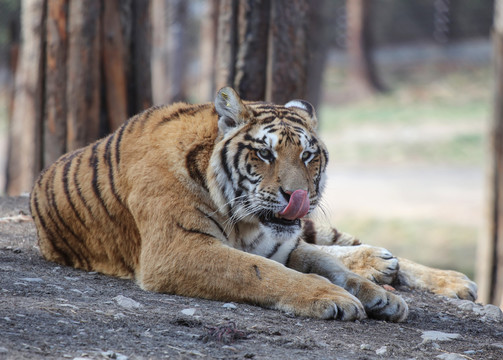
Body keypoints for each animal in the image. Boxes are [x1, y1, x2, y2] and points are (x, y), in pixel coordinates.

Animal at [29, 88, 478, 324]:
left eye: (308, 156)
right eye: (265, 154)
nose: (296, 196)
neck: (243, 223)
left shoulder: (280, 240)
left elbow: (320, 262)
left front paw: (380, 296)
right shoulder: (177, 248)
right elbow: (265, 272)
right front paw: (337, 297)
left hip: (315, 225)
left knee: (345, 244)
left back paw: (448, 279)